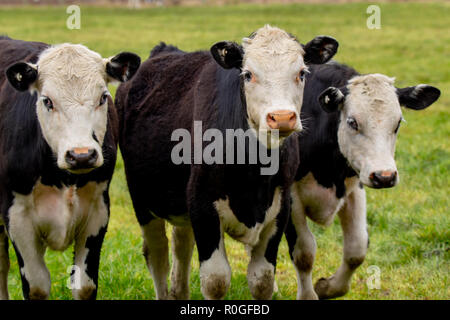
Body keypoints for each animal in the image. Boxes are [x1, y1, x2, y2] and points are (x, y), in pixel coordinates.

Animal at [0, 37, 140, 300]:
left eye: (103, 97)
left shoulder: (97, 211)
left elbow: (84, 285)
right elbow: (36, 286)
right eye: (47, 100)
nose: (81, 155)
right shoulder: (17, 217)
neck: (63, 179)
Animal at [115, 25, 338, 300]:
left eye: (302, 73)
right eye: (248, 74)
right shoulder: (202, 206)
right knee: (157, 255)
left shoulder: (280, 207)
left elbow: (262, 280)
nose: (282, 117)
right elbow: (216, 280)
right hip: (143, 200)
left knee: (181, 245)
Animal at [284, 60, 440, 300]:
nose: (385, 176)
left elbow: (356, 248)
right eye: (352, 122)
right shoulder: (290, 195)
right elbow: (304, 252)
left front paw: (328, 287)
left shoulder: (354, 186)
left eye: (397, 123)